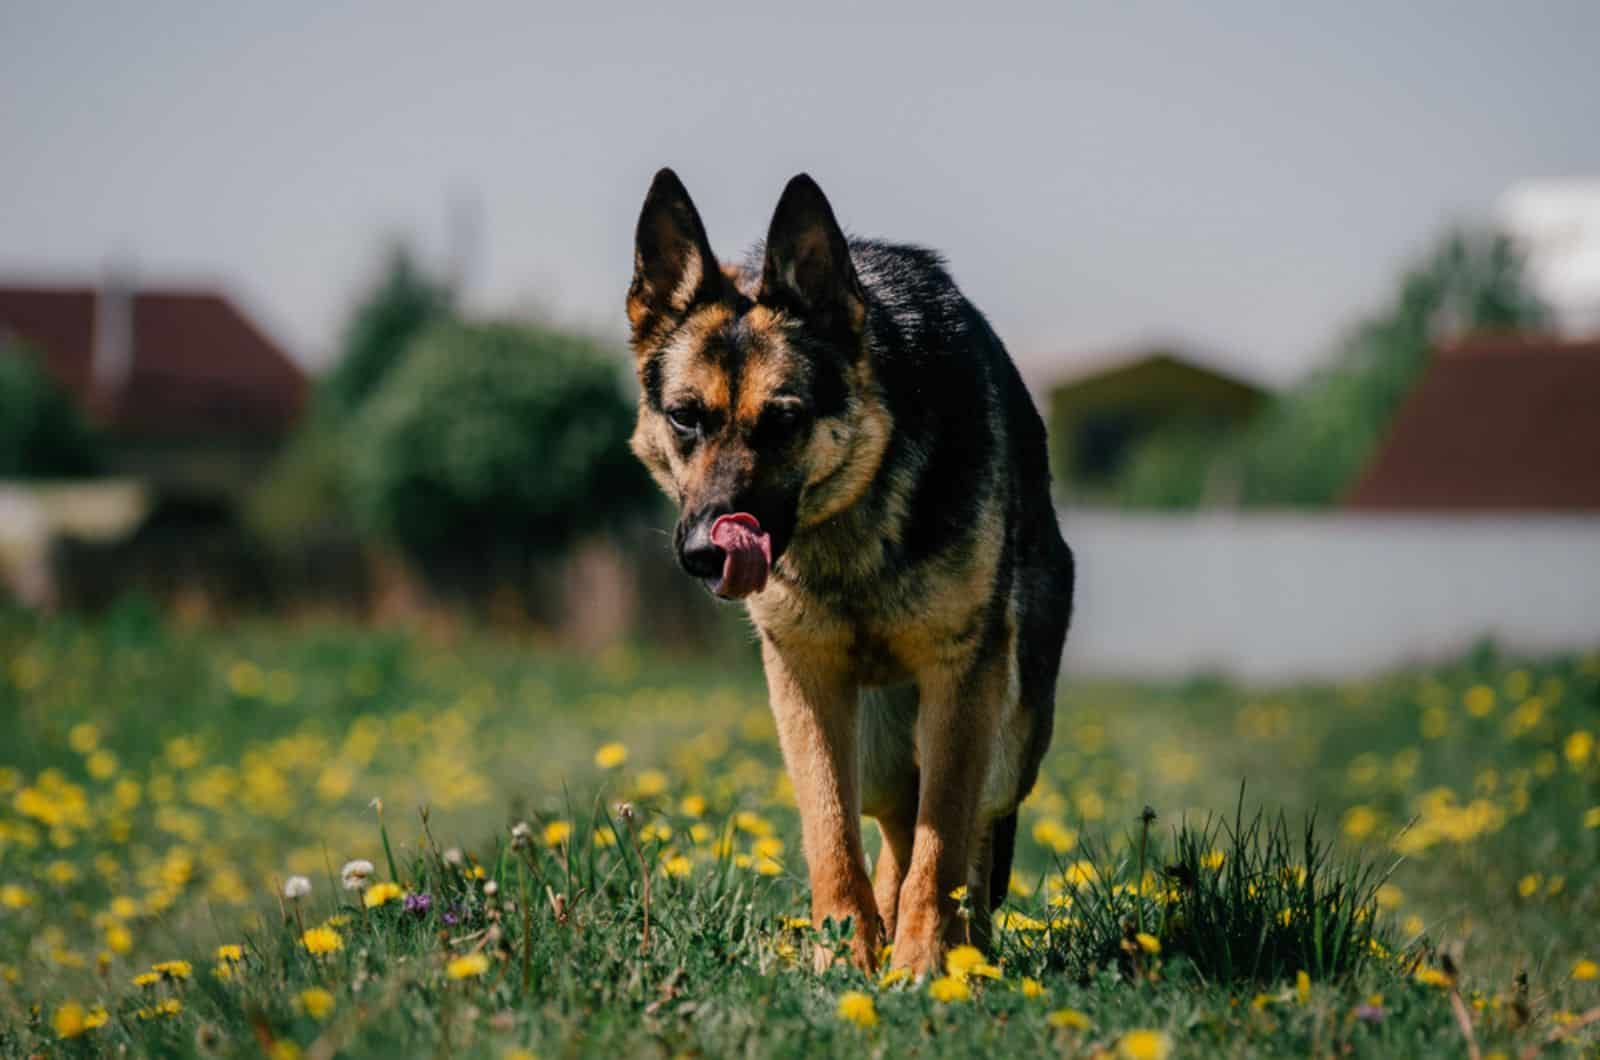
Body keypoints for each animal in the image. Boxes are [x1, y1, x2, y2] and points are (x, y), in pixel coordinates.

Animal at [624, 168, 1075, 979]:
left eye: (783, 420)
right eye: (684, 417)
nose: (706, 551)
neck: (853, 517)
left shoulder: (964, 675)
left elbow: (943, 840)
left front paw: (927, 960)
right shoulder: (805, 680)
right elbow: (831, 831)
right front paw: (848, 954)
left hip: (1005, 732)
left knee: (966, 823)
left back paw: (963, 943)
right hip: (882, 745)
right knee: (897, 816)